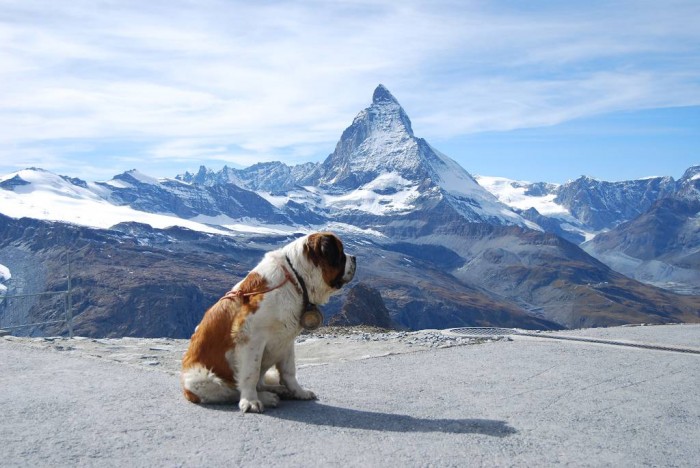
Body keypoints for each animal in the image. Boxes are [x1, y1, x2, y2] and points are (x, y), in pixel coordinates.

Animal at [180, 232, 356, 412]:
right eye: (340, 253)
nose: (354, 258)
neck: (295, 278)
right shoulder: (251, 338)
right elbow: (251, 373)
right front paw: (250, 401)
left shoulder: (286, 340)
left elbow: (289, 371)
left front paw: (299, 392)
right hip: (200, 378)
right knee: (231, 390)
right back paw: (267, 397)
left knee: (260, 383)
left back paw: (279, 390)